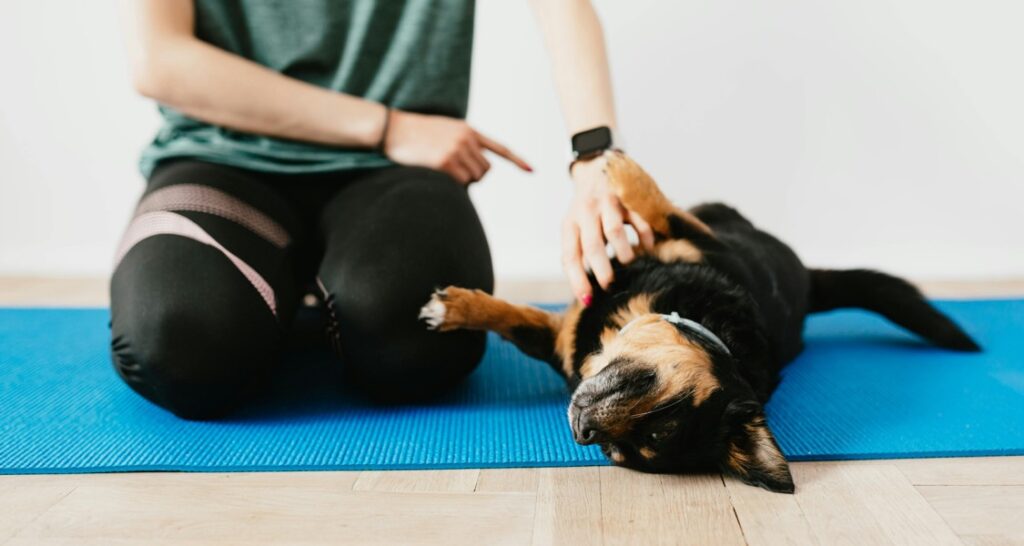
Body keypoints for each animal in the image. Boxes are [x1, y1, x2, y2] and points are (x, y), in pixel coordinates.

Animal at [415, 150, 974, 493]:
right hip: (718, 216)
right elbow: (513, 318)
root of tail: (809, 283)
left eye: (625, 450)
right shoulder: (693, 248)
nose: (583, 431)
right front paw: (457, 308)